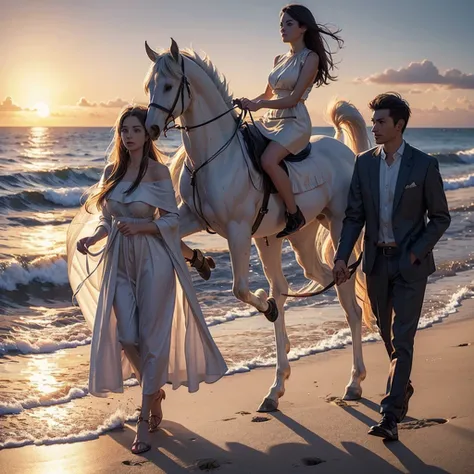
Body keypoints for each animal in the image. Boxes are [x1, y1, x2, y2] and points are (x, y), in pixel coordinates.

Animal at [144, 39, 374, 412]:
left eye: (167, 85)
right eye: (149, 85)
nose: (150, 128)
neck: (214, 156)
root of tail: (342, 150)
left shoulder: (237, 231)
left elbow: (239, 289)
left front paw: (264, 305)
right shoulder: (190, 216)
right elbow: (171, 235)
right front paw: (201, 262)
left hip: (340, 226)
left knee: (349, 304)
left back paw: (354, 382)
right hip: (285, 240)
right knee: (305, 282)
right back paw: (276, 387)